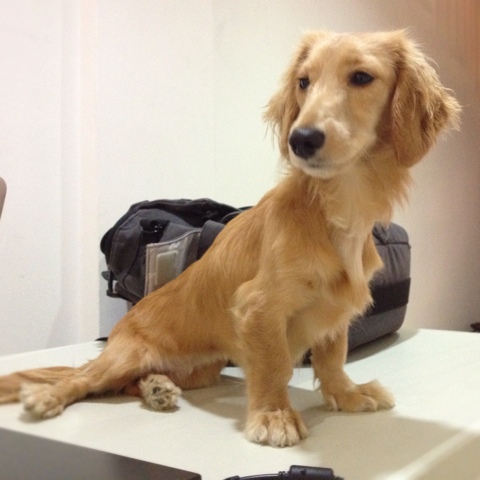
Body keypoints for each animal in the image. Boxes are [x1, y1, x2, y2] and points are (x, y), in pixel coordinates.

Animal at [0, 30, 460, 447]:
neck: (333, 205)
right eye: (304, 82)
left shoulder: (335, 306)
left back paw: (155, 388)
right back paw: (50, 396)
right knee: (85, 379)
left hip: (201, 371)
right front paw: (274, 415)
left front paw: (346, 395)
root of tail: (115, 336)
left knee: (124, 385)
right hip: (126, 355)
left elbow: (333, 355)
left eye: (362, 77)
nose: (300, 139)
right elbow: (275, 364)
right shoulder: (258, 308)